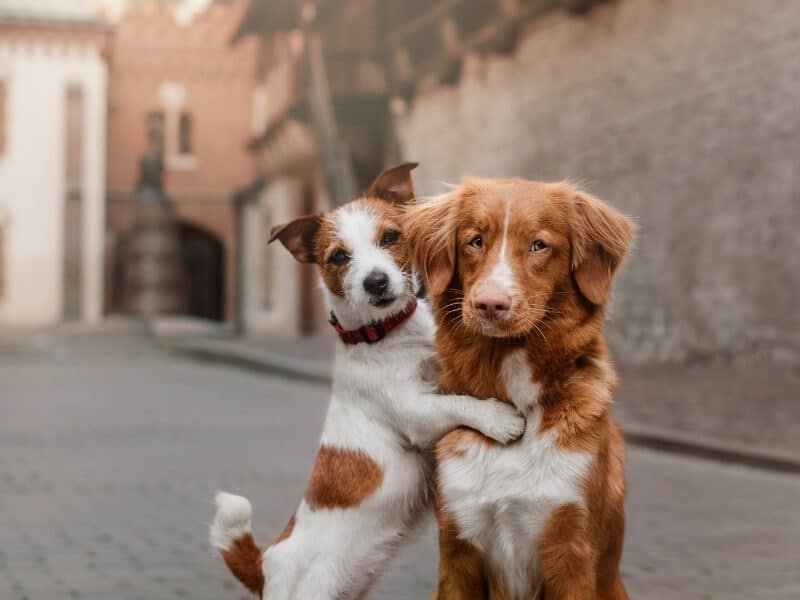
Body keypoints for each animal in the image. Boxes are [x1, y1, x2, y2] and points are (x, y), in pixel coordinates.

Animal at [209, 164, 528, 600]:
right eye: (339, 257)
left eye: (391, 237)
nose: (375, 281)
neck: (387, 333)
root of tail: (264, 565)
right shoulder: (415, 412)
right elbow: (456, 402)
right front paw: (499, 418)